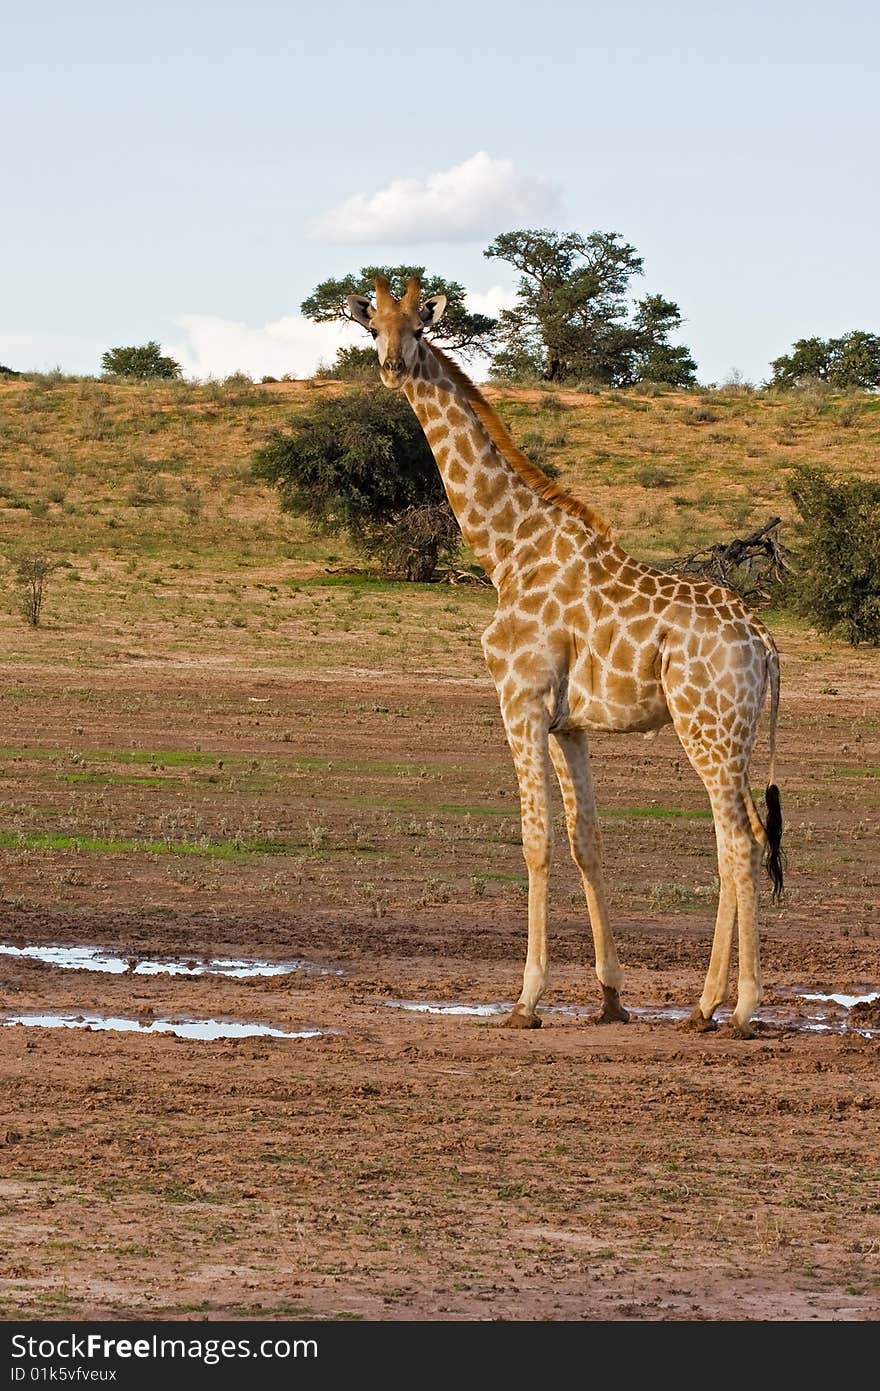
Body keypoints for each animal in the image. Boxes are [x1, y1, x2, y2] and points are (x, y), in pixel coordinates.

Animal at [346, 274, 778, 1034]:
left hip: (707, 727)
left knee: (738, 842)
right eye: (375, 328)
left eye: (420, 328)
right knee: (742, 835)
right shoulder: (568, 724)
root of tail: (765, 644)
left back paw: (737, 1007)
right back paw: (703, 1008)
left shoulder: (518, 701)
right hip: (736, 733)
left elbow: (535, 841)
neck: (505, 552)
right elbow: (586, 841)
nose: (394, 367)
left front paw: (526, 998)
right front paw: (609, 996)